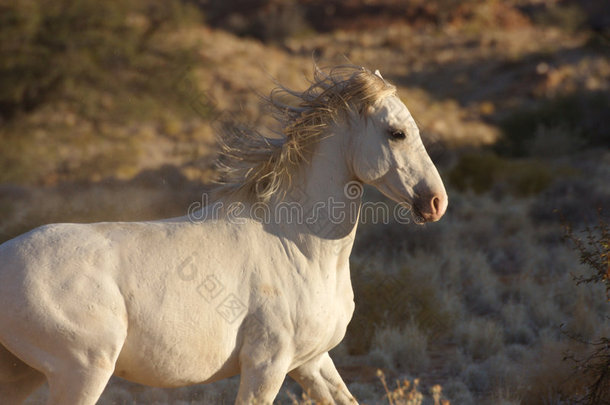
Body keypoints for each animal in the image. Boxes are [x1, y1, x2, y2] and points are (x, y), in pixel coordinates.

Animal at [1, 64, 446, 402]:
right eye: (397, 133)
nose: (435, 202)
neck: (297, 245)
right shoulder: (267, 365)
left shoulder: (312, 361)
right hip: (81, 371)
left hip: (22, 373)